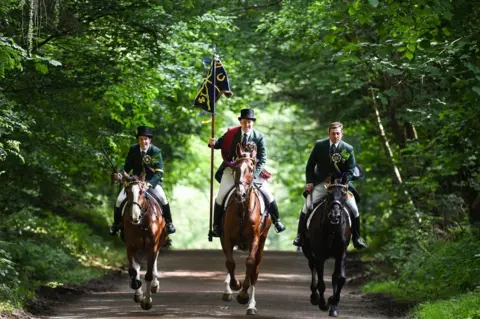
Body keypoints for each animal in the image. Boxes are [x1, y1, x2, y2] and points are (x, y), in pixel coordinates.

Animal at [121, 174, 168, 312]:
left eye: (142, 192)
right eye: (127, 191)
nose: (134, 216)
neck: (141, 223)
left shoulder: (152, 247)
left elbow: (148, 275)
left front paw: (147, 302)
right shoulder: (130, 247)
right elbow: (133, 270)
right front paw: (138, 293)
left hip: (158, 244)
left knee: (154, 263)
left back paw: (154, 285)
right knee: (137, 267)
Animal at [220, 143, 272, 318]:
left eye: (251, 168)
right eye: (235, 167)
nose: (240, 194)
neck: (242, 209)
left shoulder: (254, 239)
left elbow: (249, 263)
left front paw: (243, 294)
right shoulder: (226, 238)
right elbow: (230, 262)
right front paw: (235, 285)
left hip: (261, 242)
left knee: (255, 269)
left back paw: (251, 305)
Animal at [302, 174, 350, 318]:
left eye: (344, 193)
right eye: (329, 193)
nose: (335, 216)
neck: (332, 229)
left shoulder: (341, 253)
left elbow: (340, 278)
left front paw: (333, 304)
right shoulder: (320, 255)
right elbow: (322, 282)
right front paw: (323, 304)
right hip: (309, 252)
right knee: (313, 268)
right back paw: (314, 297)